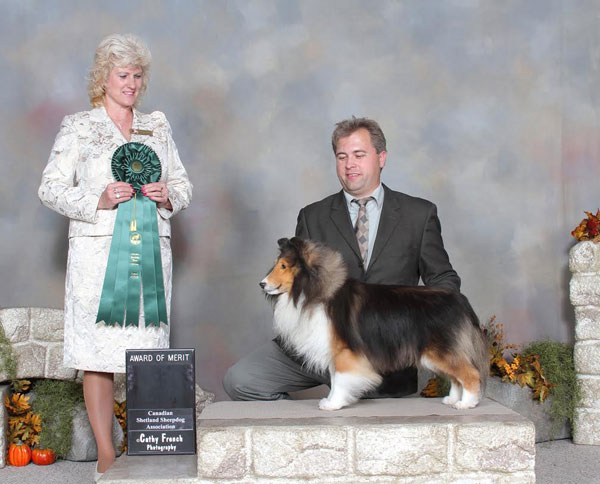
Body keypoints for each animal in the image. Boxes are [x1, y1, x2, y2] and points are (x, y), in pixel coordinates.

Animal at [259, 237, 488, 411]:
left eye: (283, 266)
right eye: (276, 264)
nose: (262, 283)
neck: (316, 291)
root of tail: (460, 300)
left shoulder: (344, 351)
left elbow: (340, 378)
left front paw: (333, 404)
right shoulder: (334, 350)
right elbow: (334, 377)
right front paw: (330, 400)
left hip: (440, 351)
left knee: (470, 374)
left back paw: (466, 404)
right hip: (437, 354)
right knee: (456, 377)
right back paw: (452, 399)